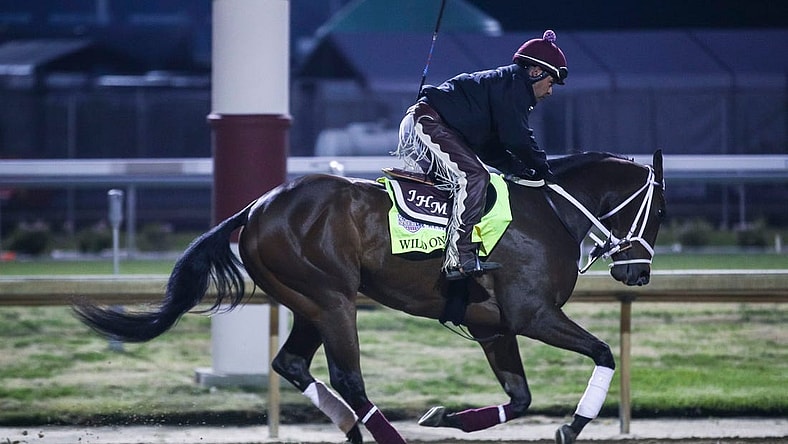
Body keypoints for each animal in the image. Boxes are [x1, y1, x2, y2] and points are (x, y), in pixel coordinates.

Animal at [75, 150, 665, 444]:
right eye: (659, 211)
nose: (638, 273)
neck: (554, 214)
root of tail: (256, 208)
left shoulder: (494, 326)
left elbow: (520, 398)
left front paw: (444, 418)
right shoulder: (532, 313)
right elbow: (604, 353)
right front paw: (573, 425)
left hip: (309, 301)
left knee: (291, 363)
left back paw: (352, 431)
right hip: (334, 299)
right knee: (348, 378)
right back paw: (381, 435)